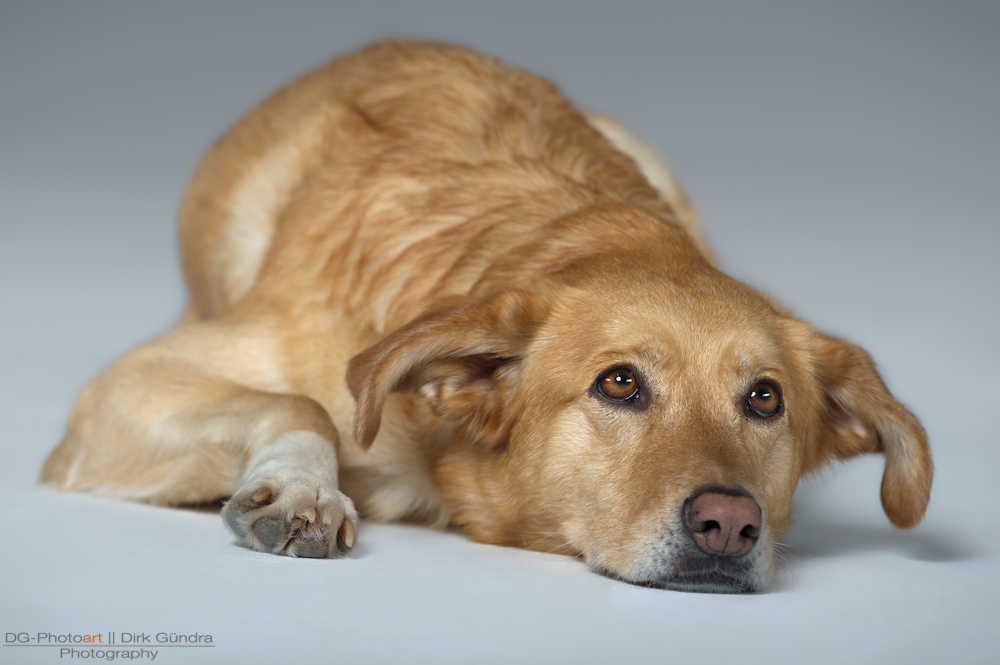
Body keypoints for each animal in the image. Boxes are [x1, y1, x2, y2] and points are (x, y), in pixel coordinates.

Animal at [39, 40, 928, 592]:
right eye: (619, 384)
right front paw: (302, 488)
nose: (730, 522)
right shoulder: (118, 388)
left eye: (764, 398)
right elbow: (300, 404)